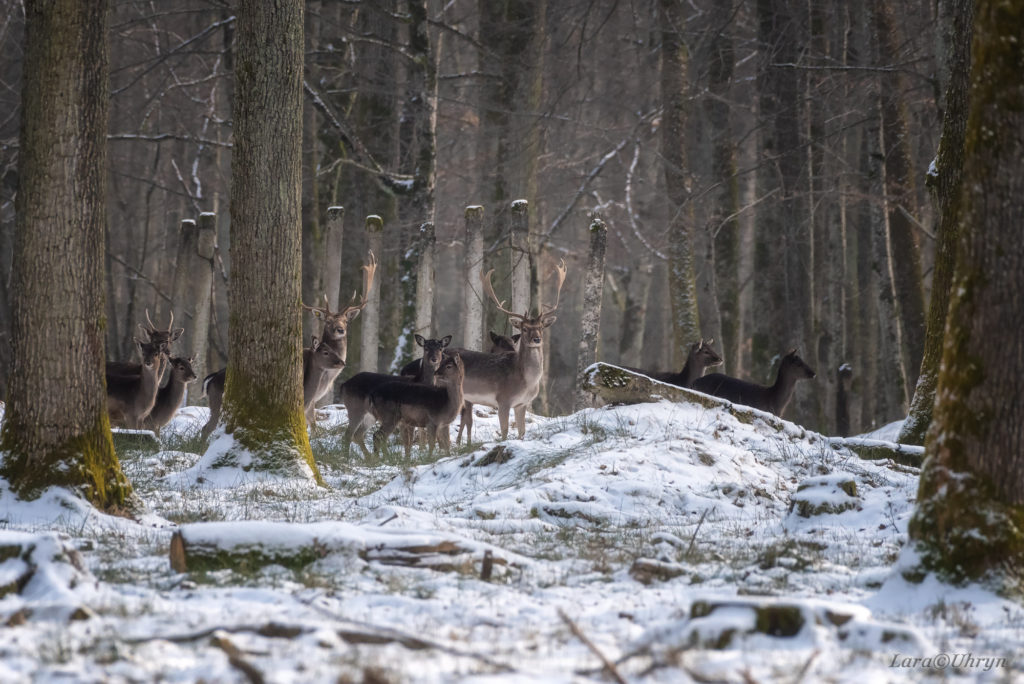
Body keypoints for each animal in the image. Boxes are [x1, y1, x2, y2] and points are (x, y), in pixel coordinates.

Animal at [454, 259, 573, 440]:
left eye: (541, 327)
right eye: (524, 328)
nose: (537, 339)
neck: (526, 382)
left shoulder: (522, 404)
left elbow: (522, 431)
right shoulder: (503, 399)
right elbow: (504, 431)